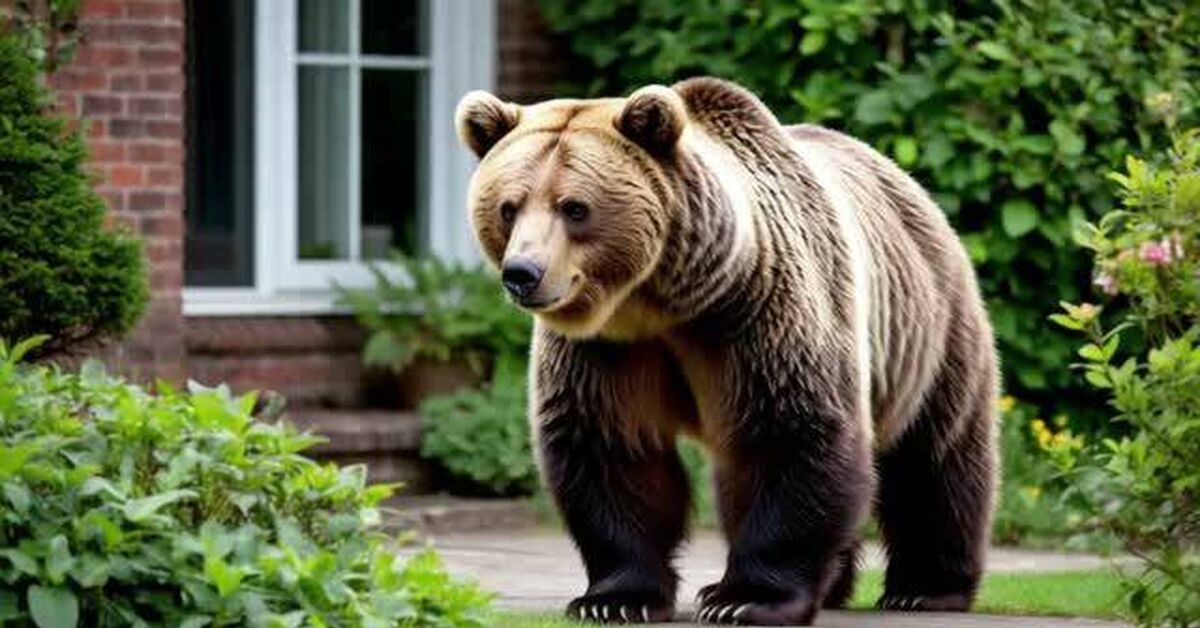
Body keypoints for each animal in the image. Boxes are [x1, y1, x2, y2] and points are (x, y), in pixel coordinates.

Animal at [454, 77, 998, 626]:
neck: (661, 302)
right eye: (508, 206)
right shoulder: (608, 349)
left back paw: (926, 588)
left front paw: (747, 599)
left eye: (574, 207)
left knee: (933, 458)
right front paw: (614, 598)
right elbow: (613, 446)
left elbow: (787, 434)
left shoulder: (758, 314)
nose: (523, 273)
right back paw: (835, 585)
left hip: (929, 330)